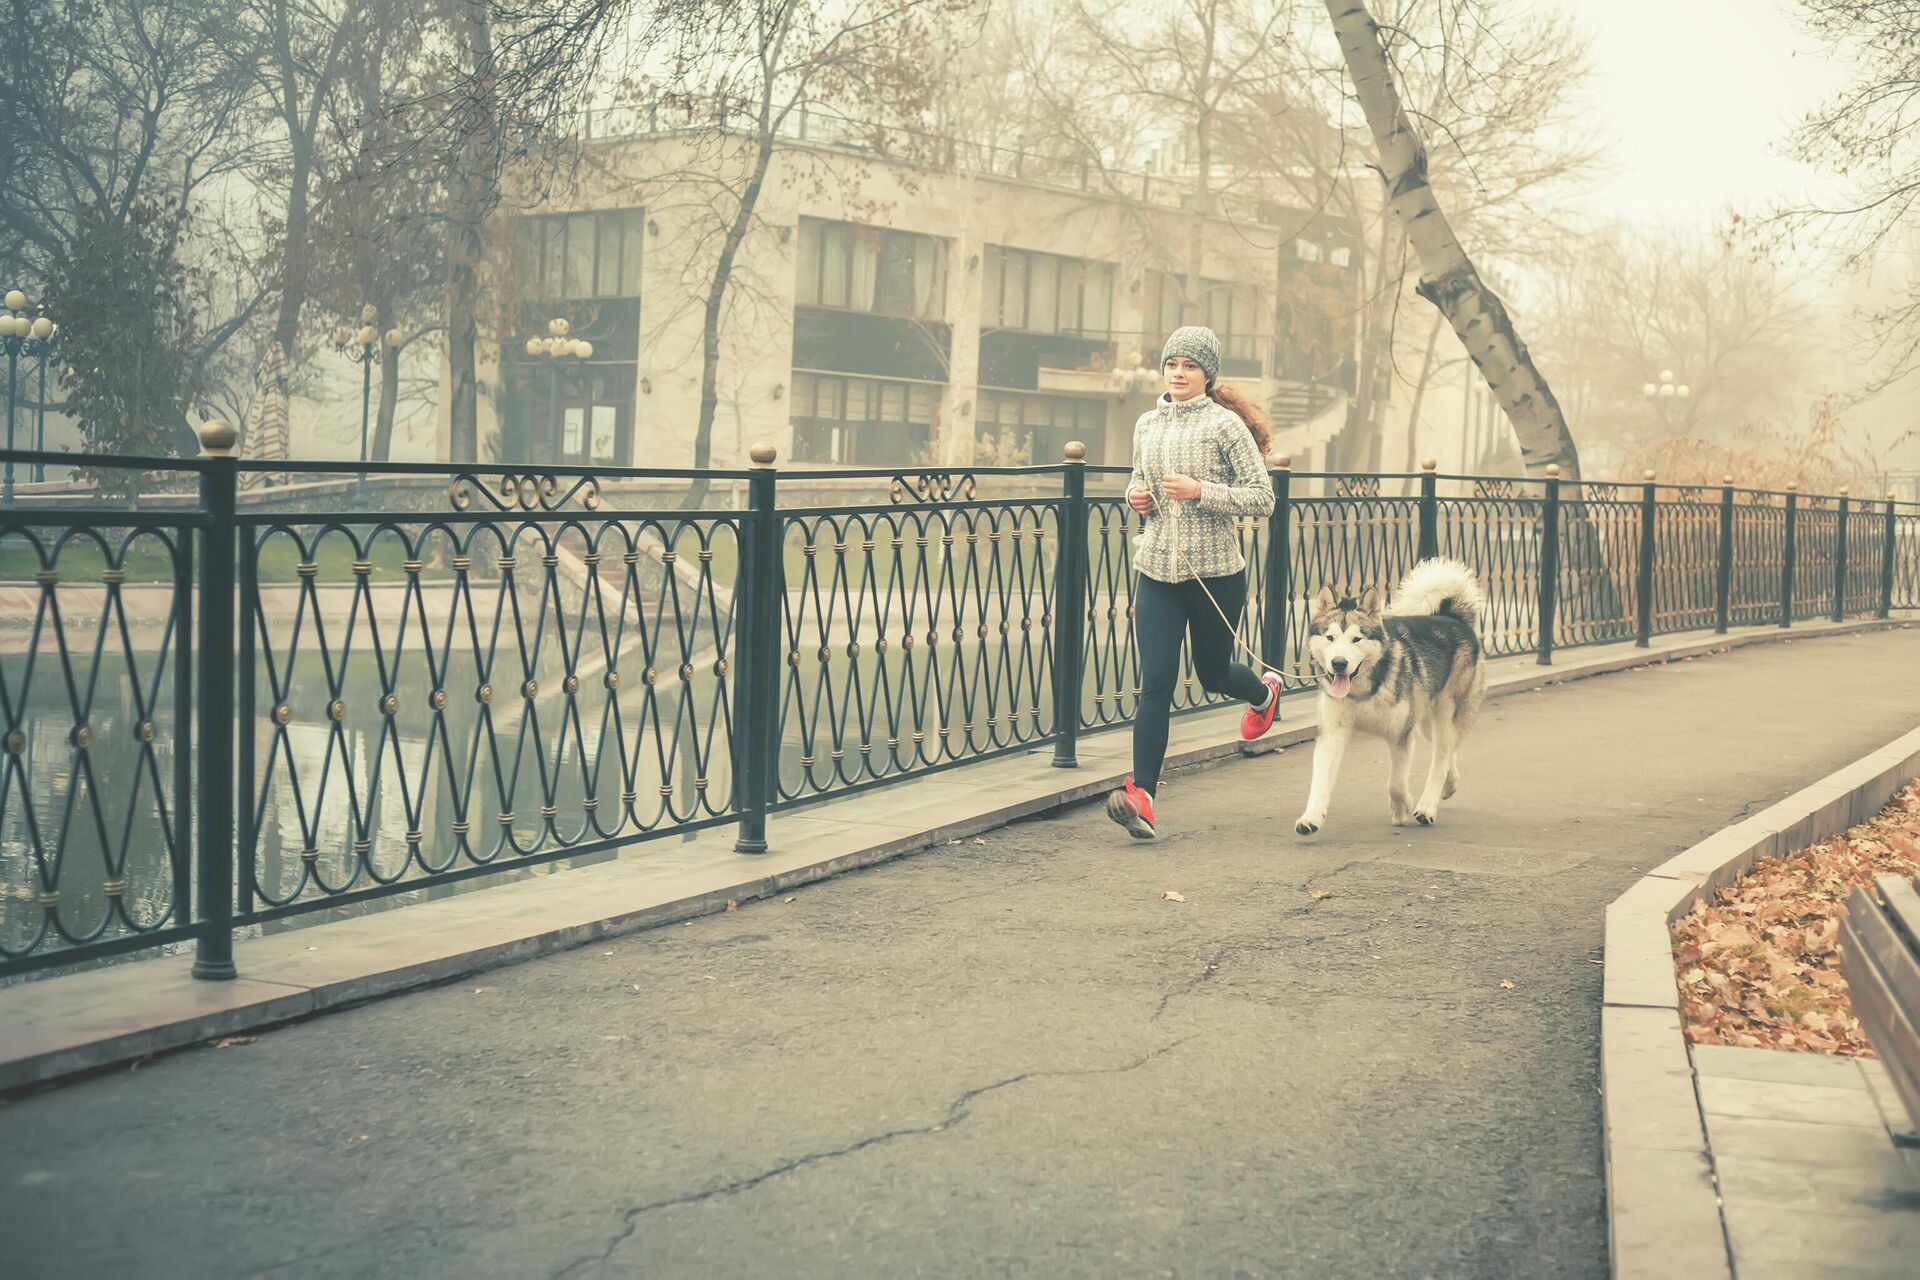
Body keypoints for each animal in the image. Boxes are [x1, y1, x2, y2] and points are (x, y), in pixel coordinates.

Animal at [1297, 560, 1489, 840]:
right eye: (1330, 638)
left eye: (1356, 638)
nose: (1339, 663)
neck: (1363, 692)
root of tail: (1452, 617)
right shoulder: (1333, 734)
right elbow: (1319, 782)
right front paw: (1310, 818)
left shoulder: (1401, 734)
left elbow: (1396, 783)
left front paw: (1402, 808)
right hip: (1426, 721)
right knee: (1448, 751)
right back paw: (1449, 784)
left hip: (1446, 713)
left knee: (1441, 757)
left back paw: (1427, 806)